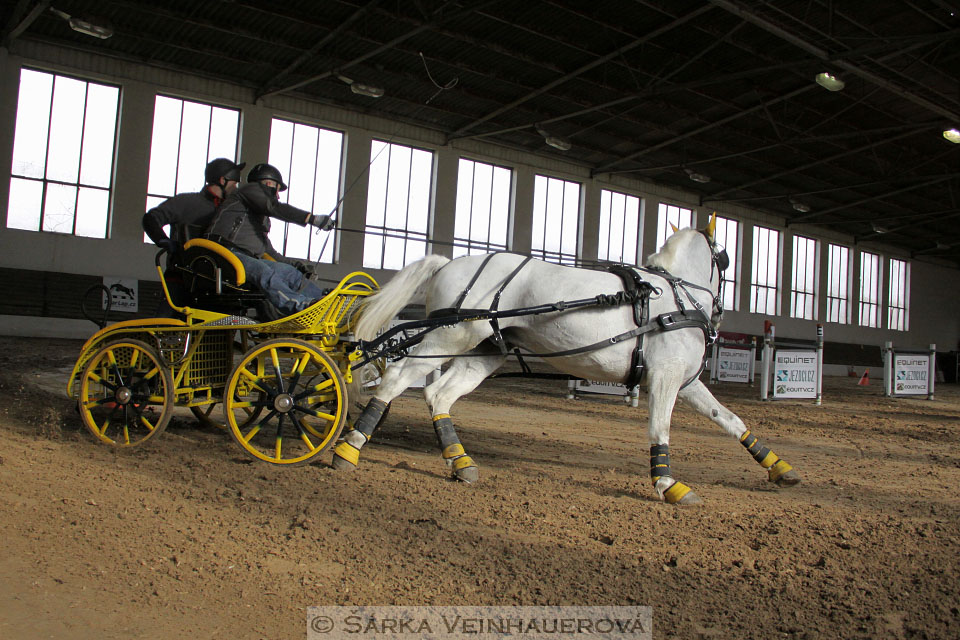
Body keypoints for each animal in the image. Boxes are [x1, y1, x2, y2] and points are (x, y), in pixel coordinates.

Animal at [334, 216, 800, 504]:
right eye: (724, 257)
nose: (720, 316)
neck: (673, 297)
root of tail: (451, 262)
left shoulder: (684, 381)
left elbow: (729, 419)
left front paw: (779, 468)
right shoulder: (666, 377)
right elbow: (660, 427)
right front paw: (668, 483)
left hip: (484, 351)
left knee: (439, 395)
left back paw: (460, 462)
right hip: (450, 335)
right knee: (396, 380)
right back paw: (350, 449)